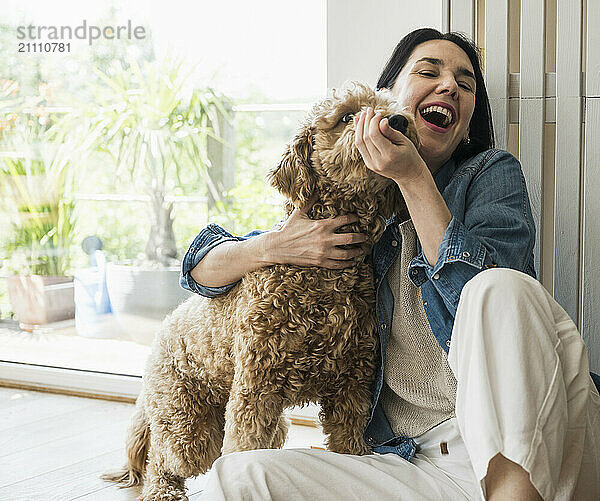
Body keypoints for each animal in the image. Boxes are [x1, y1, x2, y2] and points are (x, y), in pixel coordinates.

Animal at [102, 82, 418, 496]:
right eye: (347, 116)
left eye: (391, 104)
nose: (398, 121)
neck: (322, 280)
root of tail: (162, 332)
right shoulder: (256, 388)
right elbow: (243, 448)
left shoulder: (351, 387)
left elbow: (348, 445)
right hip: (188, 422)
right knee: (163, 456)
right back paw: (162, 491)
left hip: (257, 420)